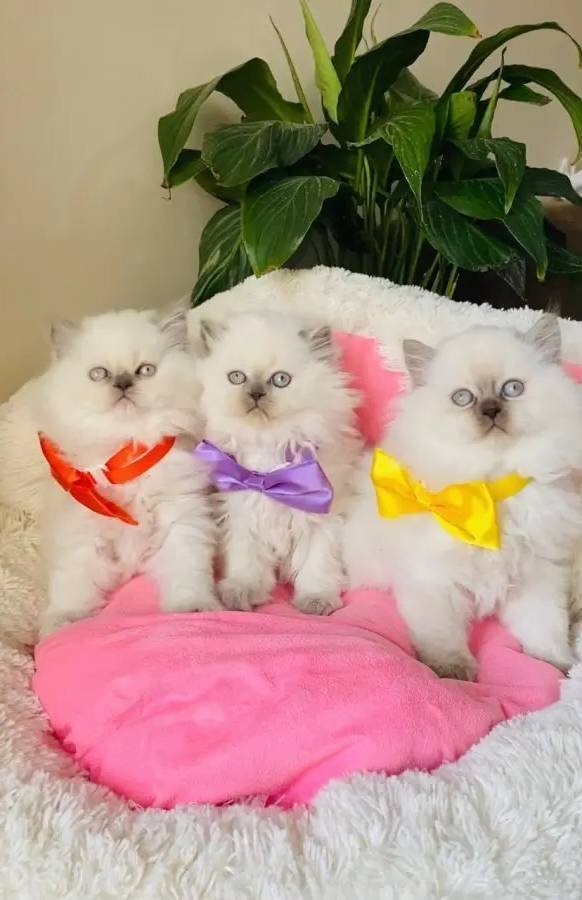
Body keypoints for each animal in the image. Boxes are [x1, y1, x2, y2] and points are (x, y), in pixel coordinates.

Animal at [36, 302, 219, 637]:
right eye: (99, 374)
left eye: (145, 371)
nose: (122, 383)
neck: (126, 455)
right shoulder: (82, 535)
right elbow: (73, 585)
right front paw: (63, 621)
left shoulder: (183, 519)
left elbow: (188, 570)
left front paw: (193, 607)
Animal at [196, 311, 361, 615]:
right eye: (237, 377)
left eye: (281, 380)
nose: (256, 394)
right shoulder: (242, 516)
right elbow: (247, 564)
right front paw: (242, 592)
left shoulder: (321, 522)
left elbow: (317, 567)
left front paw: (317, 601)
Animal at [343, 315, 582, 679]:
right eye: (463, 398)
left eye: (512, 388)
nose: (491, 410)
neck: (490, 491)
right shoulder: (435, 582)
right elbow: (443, 636)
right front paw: (452, 672)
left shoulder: (538, 574)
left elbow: (545, 628)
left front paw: (557, 665)